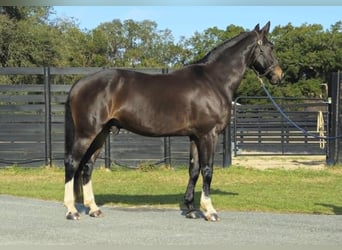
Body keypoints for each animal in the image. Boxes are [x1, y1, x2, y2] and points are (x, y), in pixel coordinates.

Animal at [64, 21, 284, 221]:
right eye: (270, 46)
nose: (279, 75)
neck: (214, 81)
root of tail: (79, 84)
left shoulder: (195, 137)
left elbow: (194, 170)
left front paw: (191, 209)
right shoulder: (208, 135)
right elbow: (207, 170)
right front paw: (209, 211)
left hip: (101, 134)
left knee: (87, 166)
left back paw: (93, 209)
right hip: (87, 133)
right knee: (72, 162)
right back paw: (72, 211)